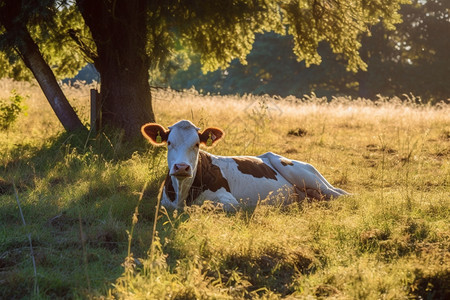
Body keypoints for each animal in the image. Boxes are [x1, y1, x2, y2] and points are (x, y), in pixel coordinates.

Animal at [141, 119, 348, 211]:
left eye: (197, 144)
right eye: (169, 142)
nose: (182, 167)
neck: (182, 193)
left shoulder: (229, 202)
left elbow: (202, 207)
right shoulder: (164, 203)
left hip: (299, 172)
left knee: (340, 194)